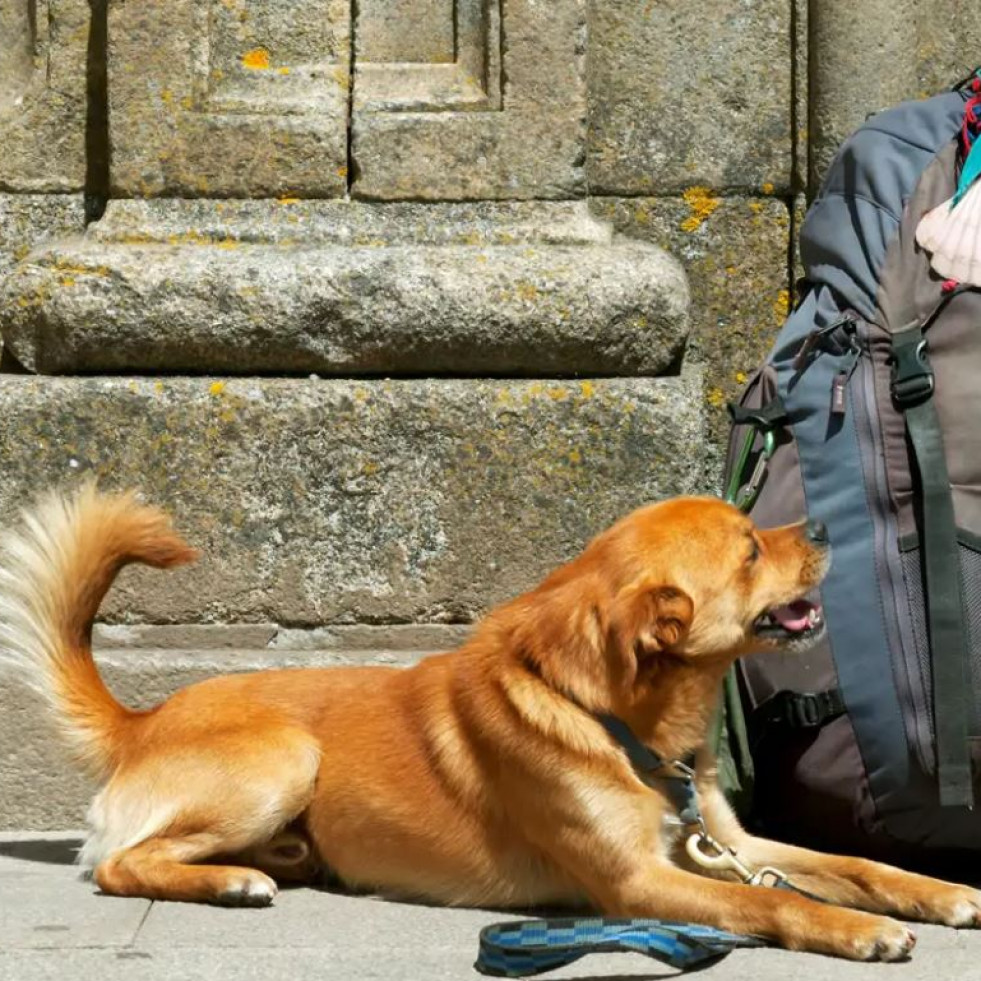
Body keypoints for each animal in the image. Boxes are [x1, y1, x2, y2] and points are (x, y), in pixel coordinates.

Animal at [0, 486, 976, 960]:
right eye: (747, 549)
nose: (822, 526)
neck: (615, 718)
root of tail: (142, 718)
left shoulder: (724, 842)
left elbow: (850, 865)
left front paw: (939, 892)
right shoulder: (636, 884)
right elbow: (769, 901)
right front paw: (855, 931)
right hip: (284, 755)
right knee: (119, 863)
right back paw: (232, 880)